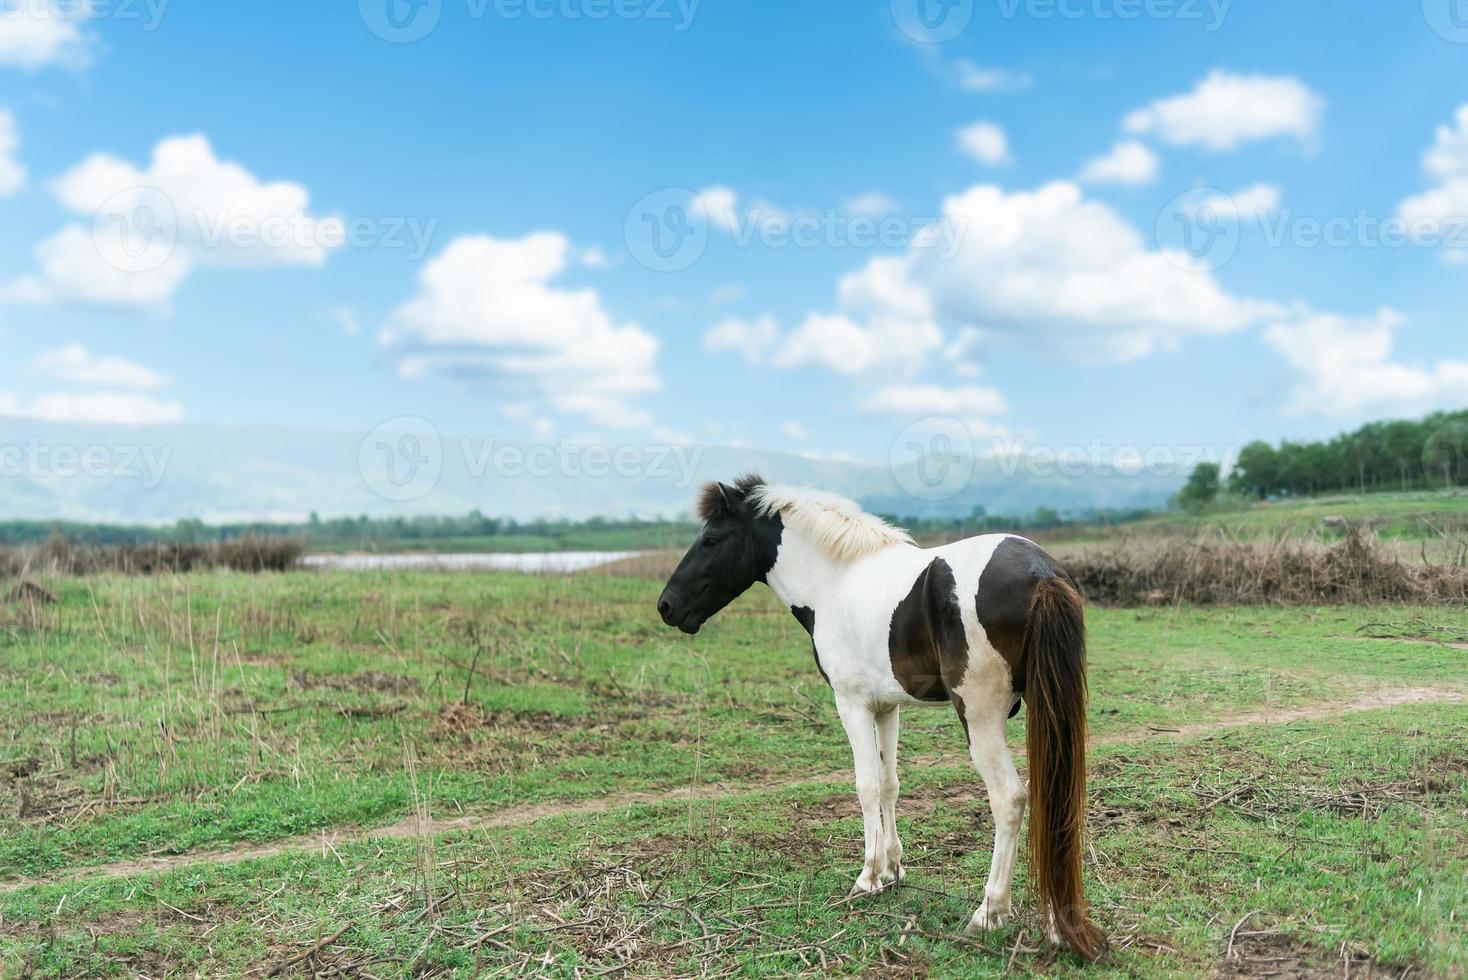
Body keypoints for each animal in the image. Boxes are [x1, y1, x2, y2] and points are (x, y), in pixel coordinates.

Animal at [654, 475, 1103, 956]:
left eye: (711, 539)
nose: (667, 606)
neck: (835, 581)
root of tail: (1042, 573)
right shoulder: (886, 707)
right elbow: (890, 785)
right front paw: (892, 870)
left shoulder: (851, 705)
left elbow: (866, 786)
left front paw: (867, 877)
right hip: (1047, 710)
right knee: (1055, 793)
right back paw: (1058, 925)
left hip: (981, 718)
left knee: (1010, 799)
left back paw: (988, 913)